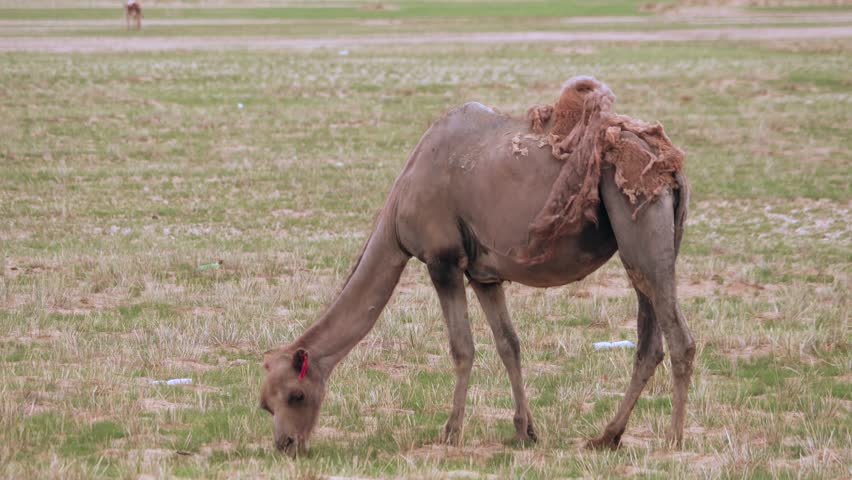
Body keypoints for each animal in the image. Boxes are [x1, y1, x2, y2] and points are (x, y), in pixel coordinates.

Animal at [261, 77, 695, 456]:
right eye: (265, 404)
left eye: (296, 395)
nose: (286, 444)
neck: (400, 201)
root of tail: (674, 167)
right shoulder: (484, 275)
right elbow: (508, 344)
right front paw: (525, 430)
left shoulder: (443, 261)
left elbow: (462, 347)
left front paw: (451, 431)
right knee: (649, 343)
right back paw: (607, 436)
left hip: (639, 233)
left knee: (679, 338)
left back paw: (673, 438)